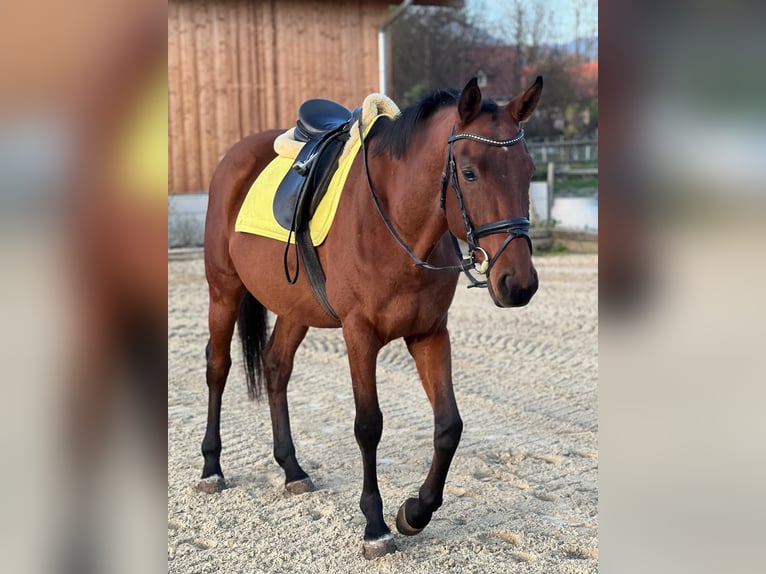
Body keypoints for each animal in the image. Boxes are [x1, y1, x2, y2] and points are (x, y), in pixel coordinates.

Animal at [198, 76, 544, 560]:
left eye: (529, 170)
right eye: (470, 172)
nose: (518, 284)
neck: (398, 224)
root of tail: (235, 156)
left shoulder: (429, 334)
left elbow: (449, 426)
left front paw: (415, 512)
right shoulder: (359, 335)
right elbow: (368, 426)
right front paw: (376, 526)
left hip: (295, 308)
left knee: (276, 366)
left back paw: (292, 469)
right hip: (223, 290)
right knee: (218, 366)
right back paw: (211, 467)